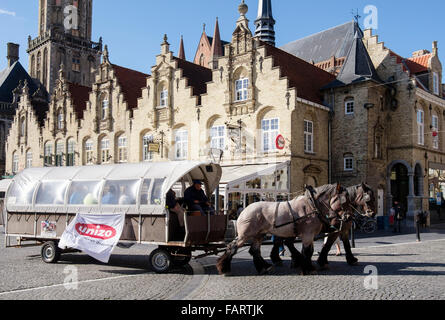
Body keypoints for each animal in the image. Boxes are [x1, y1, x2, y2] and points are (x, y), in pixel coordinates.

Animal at [217, 184, 352, 276]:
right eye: (344, 200)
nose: (349, 217)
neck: (312, 206)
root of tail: (244, 210)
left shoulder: (310, 235)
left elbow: (308, 251)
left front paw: (307, 266)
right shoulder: (307, 234)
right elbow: (307, 252)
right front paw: (308, 269)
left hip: (259, 235)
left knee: (254, 250)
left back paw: (263, 267)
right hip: (244, 235)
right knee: (232, 247)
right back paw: (224, 268)